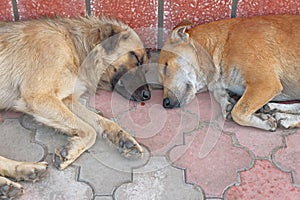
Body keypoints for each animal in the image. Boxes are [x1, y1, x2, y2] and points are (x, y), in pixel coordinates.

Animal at [0, 16, 150, 198]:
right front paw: (71, 151)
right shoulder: (39, 97)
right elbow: (90, 131)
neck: (75, 47)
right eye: (135, 57)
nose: (148, 96)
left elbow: (102, 121)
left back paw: (22, 173)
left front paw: (123, 138)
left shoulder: (65, 99)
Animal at [158, 14, 298, 131]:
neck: (224, 44)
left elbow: (238, 112)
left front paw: (263, 122)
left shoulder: (265, 83)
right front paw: (227, 103)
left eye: (166, 66)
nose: (165, 103)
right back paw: (281, 114)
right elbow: (220, 95)